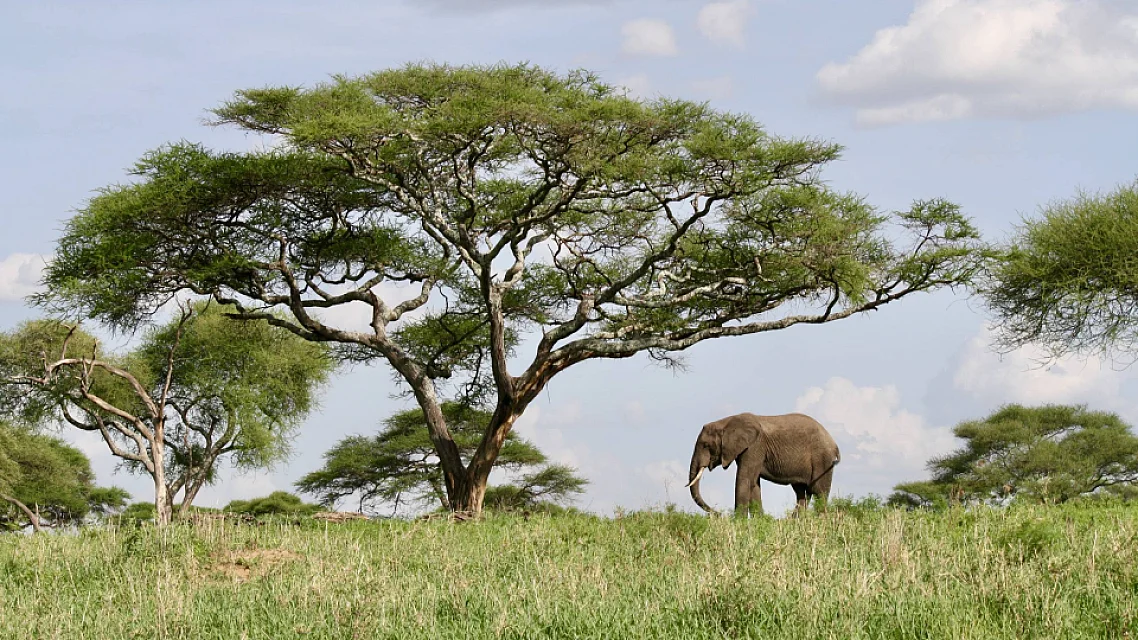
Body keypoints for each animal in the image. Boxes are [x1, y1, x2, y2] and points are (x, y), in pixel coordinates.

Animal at [686, 412, 840, 516]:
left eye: (705, 445)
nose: (719, 514)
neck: (727, 422)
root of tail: (834, 443)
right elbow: (754, 483)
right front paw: (759, 521)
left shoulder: (754, 446)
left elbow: (744, 480)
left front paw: (739, 523)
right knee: (802, 492)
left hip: (823, 460)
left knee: (819, 492)